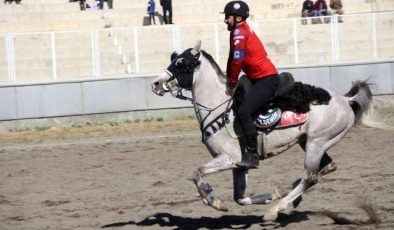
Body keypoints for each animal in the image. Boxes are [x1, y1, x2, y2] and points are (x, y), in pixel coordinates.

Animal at [150, 41, 372, 221]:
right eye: (173, 59)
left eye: (180, 63)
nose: (156, 83)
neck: (220, 107)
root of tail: (346, 100)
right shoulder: (239, 166)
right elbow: (239, 198)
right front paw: (269, 196)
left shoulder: (228, 159)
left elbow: (197, 174)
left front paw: (214, 201)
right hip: (309, 141)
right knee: (326, 168)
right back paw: (287, 194)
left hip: (316, 143)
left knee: (310, 177)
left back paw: (275, 210)